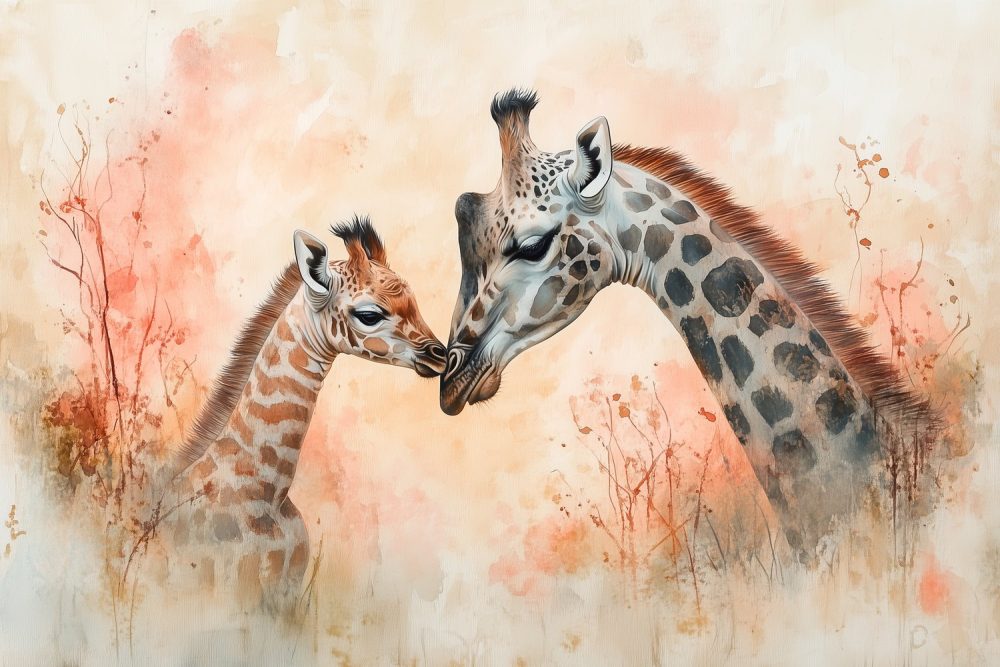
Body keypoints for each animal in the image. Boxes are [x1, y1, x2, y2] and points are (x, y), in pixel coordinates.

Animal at [161, 216, 446, 613]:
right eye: (369, 314)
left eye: (415, 302)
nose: (442, 356)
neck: (267, 491)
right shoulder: (236, 598)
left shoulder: (287, 597)